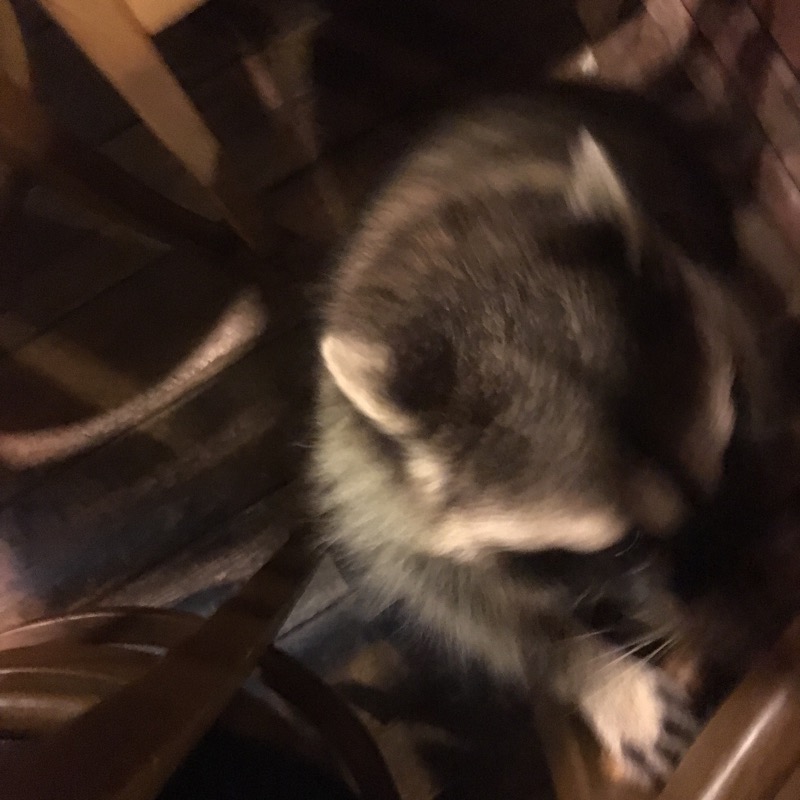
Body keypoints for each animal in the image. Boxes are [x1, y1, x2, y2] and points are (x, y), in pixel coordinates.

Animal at [310, 88, 763, 787]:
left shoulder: (716, 298)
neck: (482, 283)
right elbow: (448, 592)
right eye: (625, 547)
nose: (752, 619)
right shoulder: (368, 480)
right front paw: (590, 671)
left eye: (728, 457)